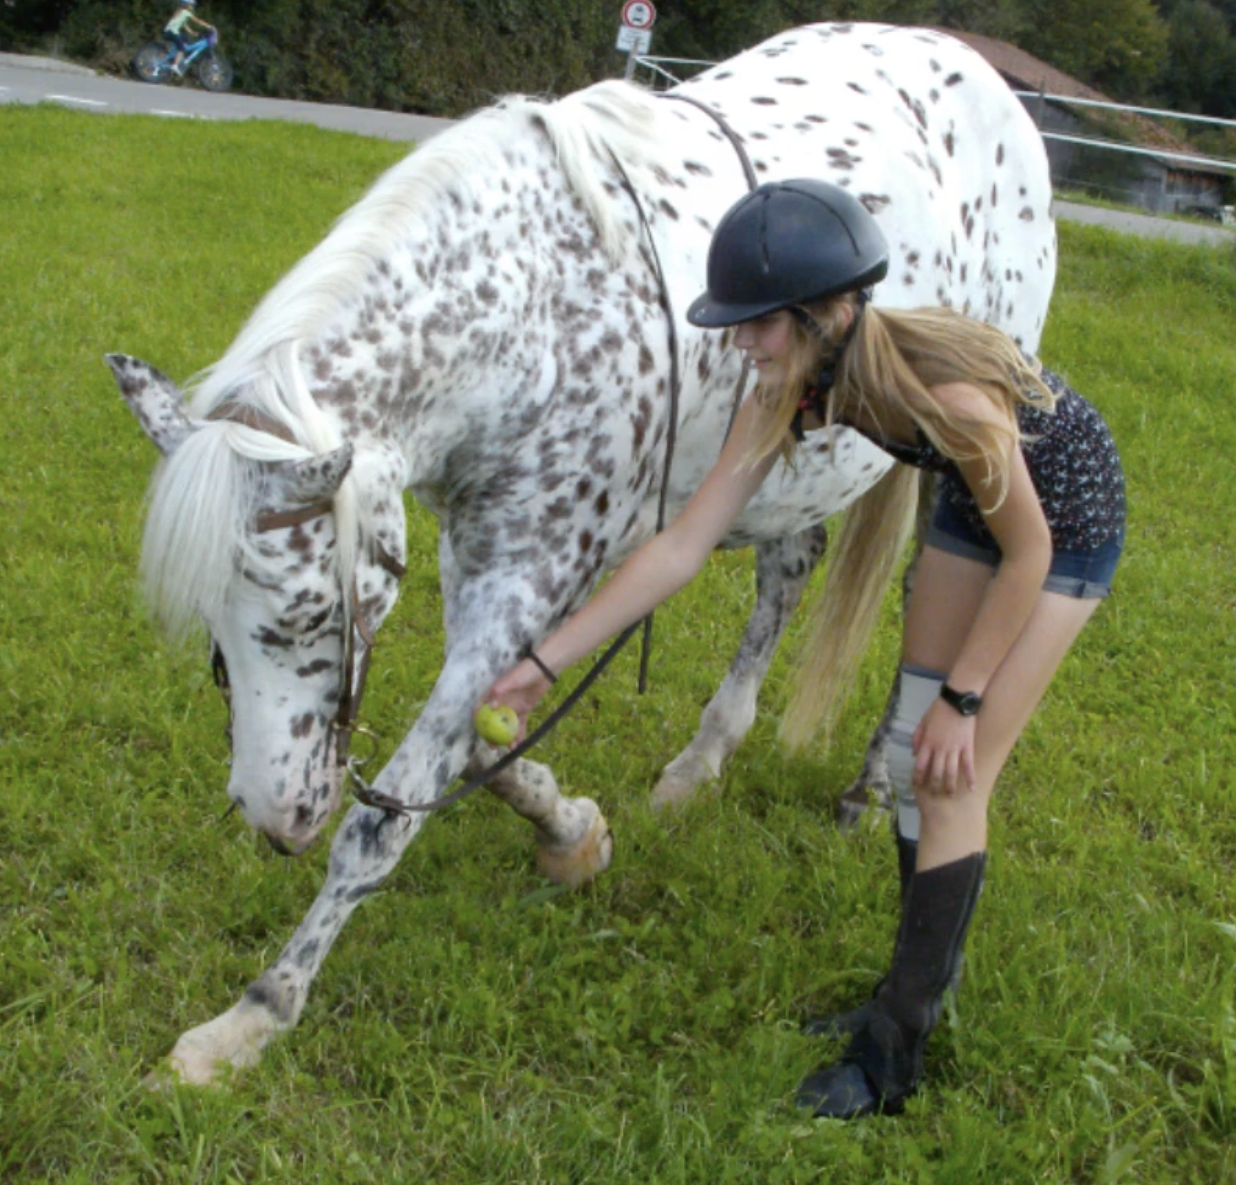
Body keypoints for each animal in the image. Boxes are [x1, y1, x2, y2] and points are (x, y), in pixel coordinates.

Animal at [108, 22, 1056, 1084]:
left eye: (313, 614)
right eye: (213, 625)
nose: (276, 818)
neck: (534, 319)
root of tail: (986, 79)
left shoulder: (530, 578)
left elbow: (387, 813)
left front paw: (252, 1015)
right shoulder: (489, 569)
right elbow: (490, 744)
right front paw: (572, 832)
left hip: (960, 445)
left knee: (935, 598)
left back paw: (871, 786)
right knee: (789, 568)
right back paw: (701, 759)